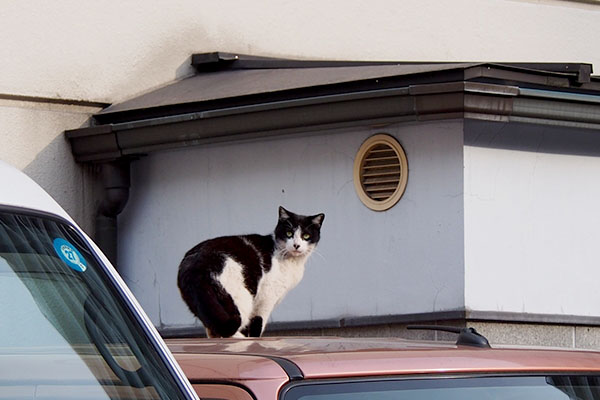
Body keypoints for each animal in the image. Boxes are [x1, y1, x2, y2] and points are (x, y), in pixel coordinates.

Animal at [177, 206, 324, 338]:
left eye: (306, 236)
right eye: (289, 234)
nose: (296, 245)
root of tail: (196, 267)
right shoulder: (265, 301)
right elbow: (257, 327)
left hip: (204, 306)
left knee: (214, 329)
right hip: (241, 299)